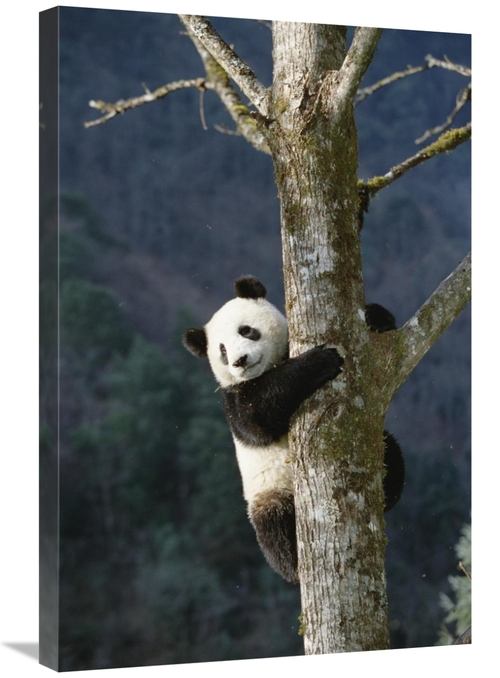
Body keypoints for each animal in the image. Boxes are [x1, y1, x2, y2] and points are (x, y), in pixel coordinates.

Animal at [183, 275, 404, 584]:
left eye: (247, 330)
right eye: (223, 351)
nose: (240, 361)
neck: (269, 367)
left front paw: (374, 317)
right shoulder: (233, 399)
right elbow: (257, 418)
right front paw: (321, 361)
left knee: (391, 454)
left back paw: (387, 489)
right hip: (269, 491)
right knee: (274, 528)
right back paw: (294, 563)